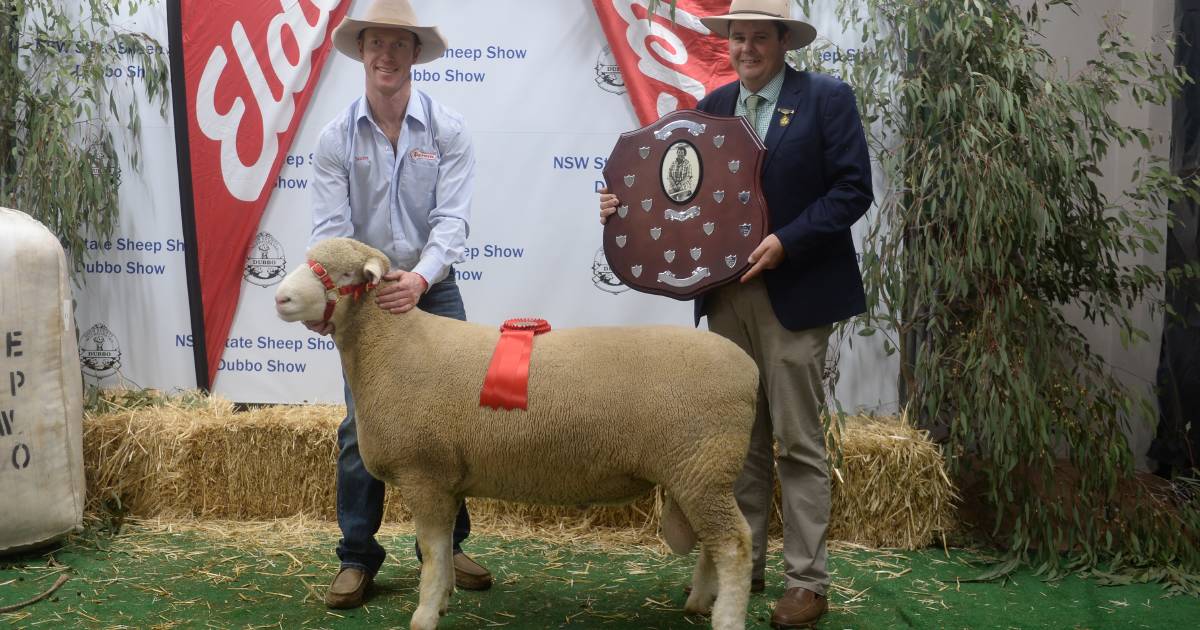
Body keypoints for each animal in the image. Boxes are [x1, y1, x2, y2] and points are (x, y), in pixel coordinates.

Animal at [276, 237, 753, 628]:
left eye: (342, 274)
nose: (280, 298)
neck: (394, 345)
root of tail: (749, 368)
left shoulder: (424, 473)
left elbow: (432, 552)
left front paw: (425, 614)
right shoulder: (445, 480)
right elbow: (441, 551)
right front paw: (443, 599)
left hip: (702, 464)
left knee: (734, 544)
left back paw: (727, 618)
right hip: (700, 472)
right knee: (713, 543)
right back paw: (699, 602)